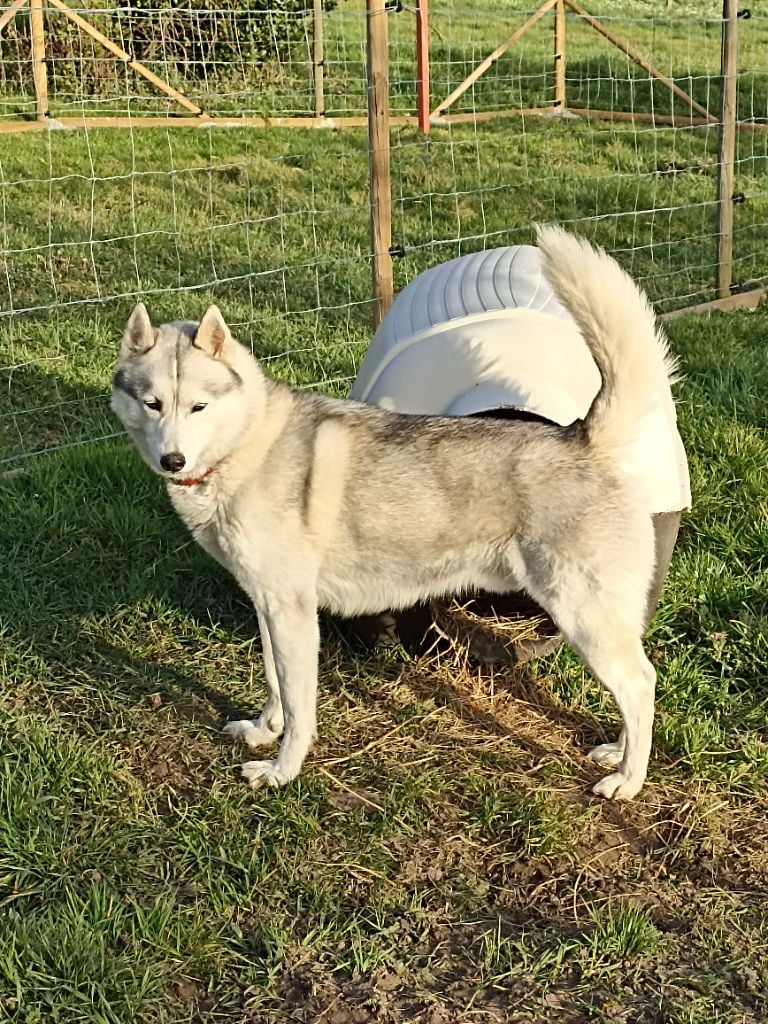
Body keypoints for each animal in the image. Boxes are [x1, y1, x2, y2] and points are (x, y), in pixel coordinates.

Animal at [111, 226, 677, 800]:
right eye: (153, 403)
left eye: (198, 407)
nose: (173, 460)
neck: (248, 445)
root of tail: (582, 436)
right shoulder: (268, 607)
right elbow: (275, 683)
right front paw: (264, 729)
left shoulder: (293, 613)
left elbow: (300, 707)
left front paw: (282, 769)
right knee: (637, 689)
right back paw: (617, 751)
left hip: (585, 620)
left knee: (641, 685)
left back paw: (628, 779)